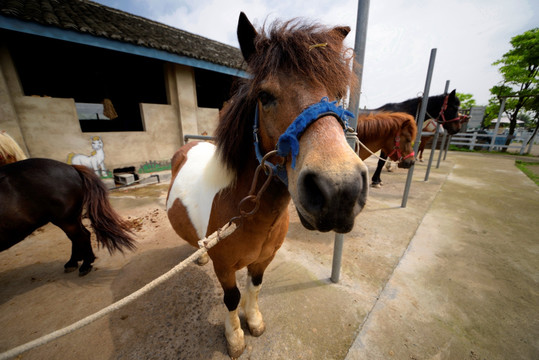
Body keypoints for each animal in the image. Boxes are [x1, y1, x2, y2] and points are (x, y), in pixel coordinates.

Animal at [0, 158, 135, 276]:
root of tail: (71, 167)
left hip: (66, 219)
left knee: (80, 236)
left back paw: (84, 264)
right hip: (72, 217)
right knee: (78, 236)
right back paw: (75, 262)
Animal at [167, 11, 370, 358]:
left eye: (339, 95)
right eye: (264, 96)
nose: (340, 190)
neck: (246, 216)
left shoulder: (263, 260)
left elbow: (255, 287)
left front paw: (254, 320)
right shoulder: (225, 268)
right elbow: (232, 298)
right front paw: (235, 337)